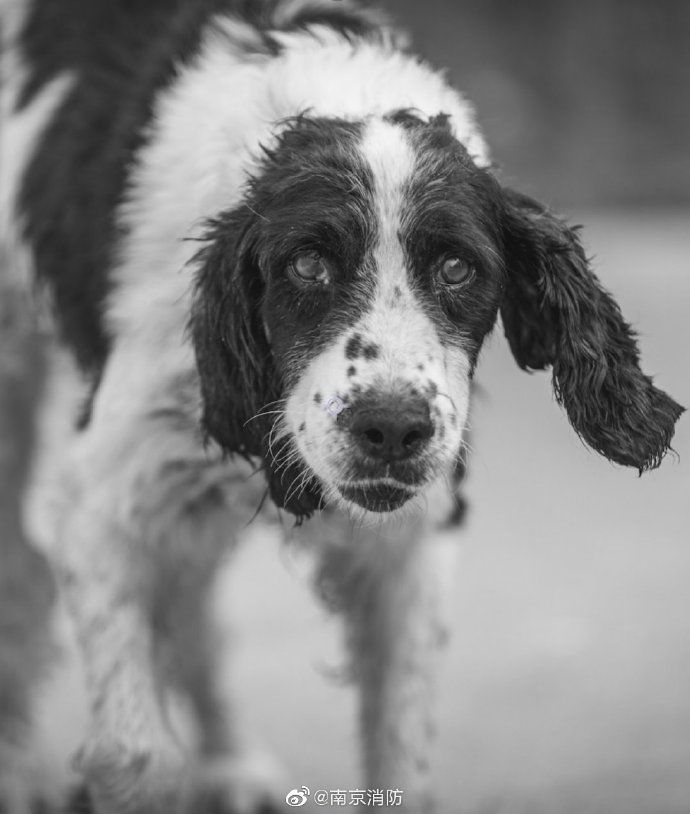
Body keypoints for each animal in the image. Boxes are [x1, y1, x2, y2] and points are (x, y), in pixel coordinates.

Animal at [1, 0, 684, 812]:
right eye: (307, 263)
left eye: (458, 268)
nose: (390, 429)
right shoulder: (99, 502)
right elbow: (136, 757)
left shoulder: (412, 544)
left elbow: (401, 759)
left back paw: (230, 761)